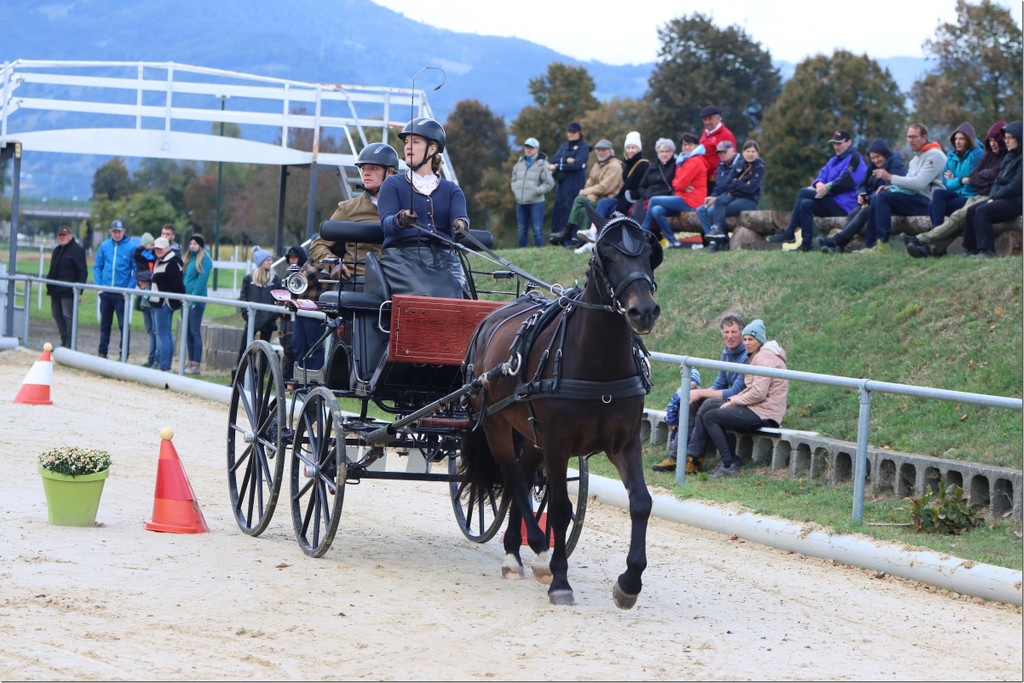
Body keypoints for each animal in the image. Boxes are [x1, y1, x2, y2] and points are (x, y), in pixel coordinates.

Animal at [458, 207, 662, 608]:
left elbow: (641, 502)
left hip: (530, 433)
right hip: (497, 425)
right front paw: (560, 580)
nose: (643, 311)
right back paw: (537, 552)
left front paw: (629, 582)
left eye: (650, 253)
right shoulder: (557, 444)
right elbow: (560, 510)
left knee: (521, 477)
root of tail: (489, 319)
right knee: (513, 477)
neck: (599, 367)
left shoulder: (625, 443)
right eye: (606, 255)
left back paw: (515, 551)